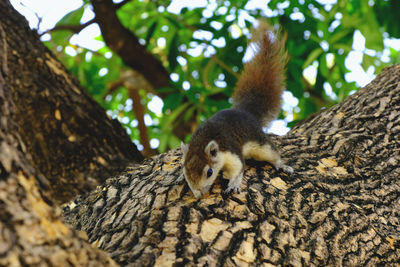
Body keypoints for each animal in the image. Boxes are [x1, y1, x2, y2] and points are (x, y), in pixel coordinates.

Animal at [181, 22, 294, 199]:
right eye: (186, 172)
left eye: (210, 172)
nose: (199, 194)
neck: (202, 141)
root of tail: (246, 113)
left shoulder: (231, 151)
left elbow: (238, 169)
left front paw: (233, 184)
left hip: (259, 142)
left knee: (272, 153)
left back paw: (281, 164)